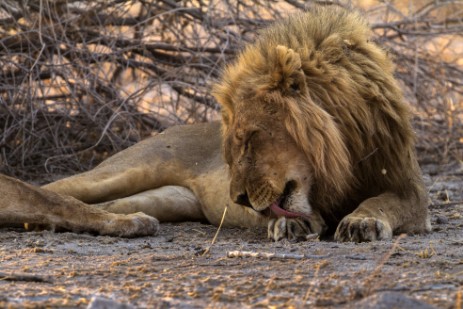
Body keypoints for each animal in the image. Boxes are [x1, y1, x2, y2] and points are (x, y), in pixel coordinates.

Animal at [0, 5, 432, 241]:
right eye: (235, 144)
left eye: (252, 138)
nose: (237, 199)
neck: (345, 144)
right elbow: (300, 211)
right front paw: (292, 227)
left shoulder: (409, 190)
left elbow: (381, 202)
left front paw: (362, 222)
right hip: (124, 170)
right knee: (51, 191)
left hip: (167, 199)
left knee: (102, 205)